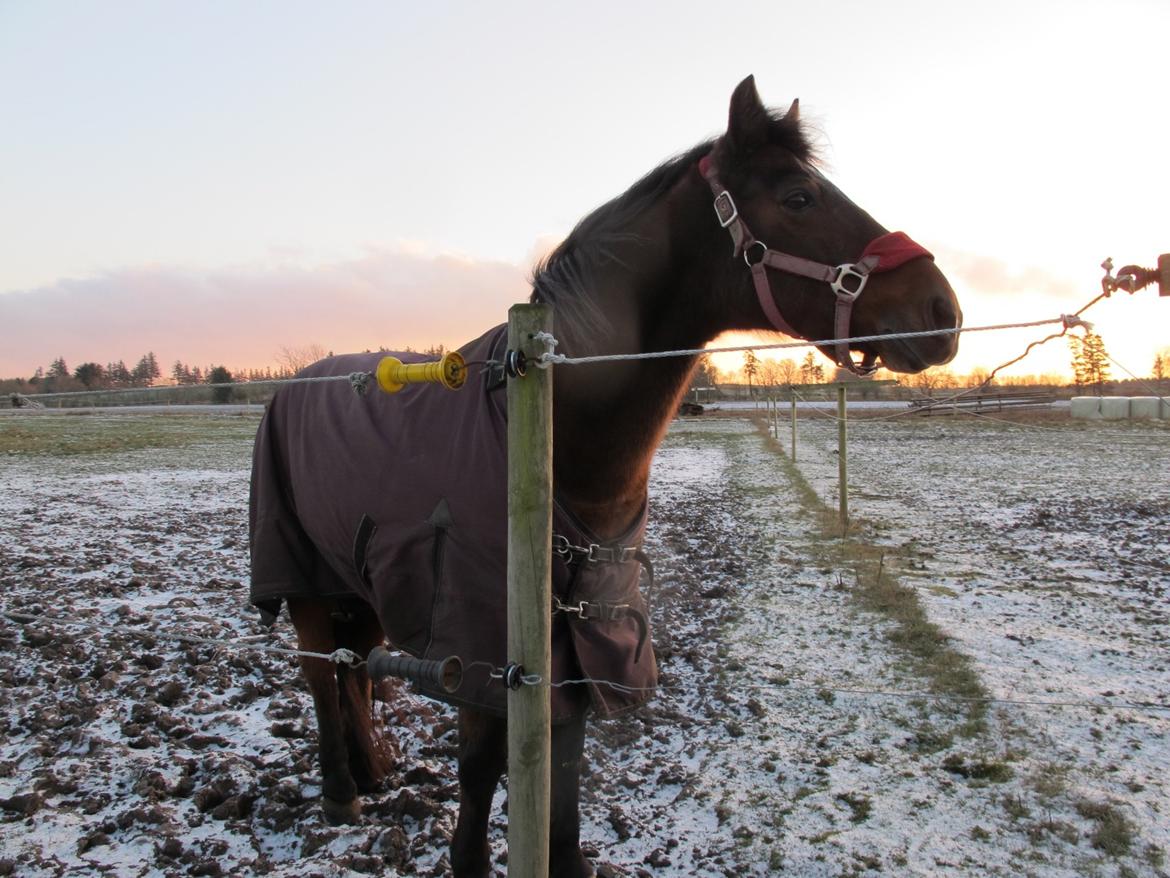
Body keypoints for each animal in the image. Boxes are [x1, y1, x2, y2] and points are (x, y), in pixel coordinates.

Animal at [246, 77, 959, 878]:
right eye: (799, 197)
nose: (942, 310)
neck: (553, 425)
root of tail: (292, 386)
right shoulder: (485, 647)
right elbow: (481, 767)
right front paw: (466, 858)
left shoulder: (582, 642)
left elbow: (564, 779)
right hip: (302, 579)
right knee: (320, 674)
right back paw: (343, 791)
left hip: (359, 577)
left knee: (355, 669)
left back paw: (374, 770)